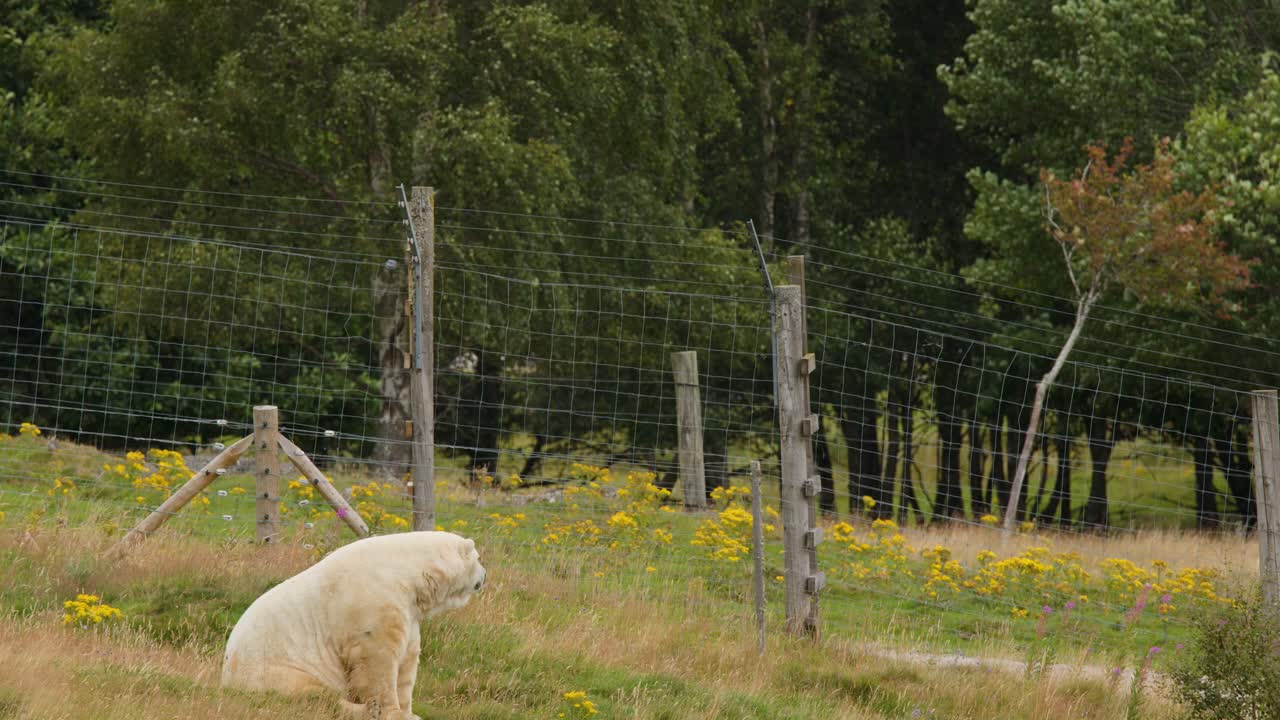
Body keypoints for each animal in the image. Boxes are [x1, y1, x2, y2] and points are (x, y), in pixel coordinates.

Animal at [221, 531, 486, 719]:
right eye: (478, 558)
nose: (485, 575)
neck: (406, 571)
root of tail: (226, 680)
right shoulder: (375, 601)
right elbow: (377, 660)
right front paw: (391, 712)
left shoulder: (408, 613)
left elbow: (407, 662)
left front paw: (410, 712)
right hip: (274, 671)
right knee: (312, 695)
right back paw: (363, 710)